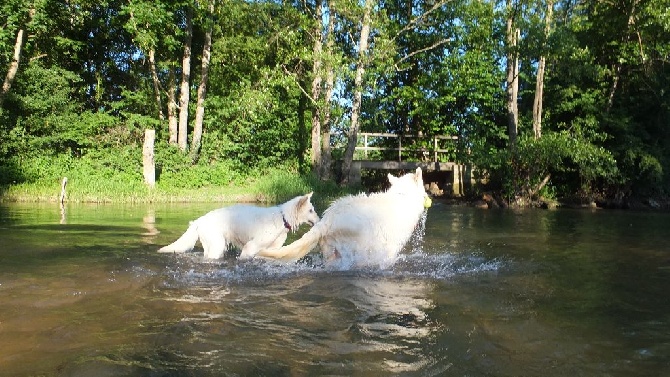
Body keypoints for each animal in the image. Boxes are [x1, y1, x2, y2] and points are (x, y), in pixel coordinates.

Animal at [161, 194, 322, 258]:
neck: (282, 217)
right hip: (218, 246)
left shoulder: (272, 249)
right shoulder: (250, 247)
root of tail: (199, 220)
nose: (320, 220)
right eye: (310, 210)